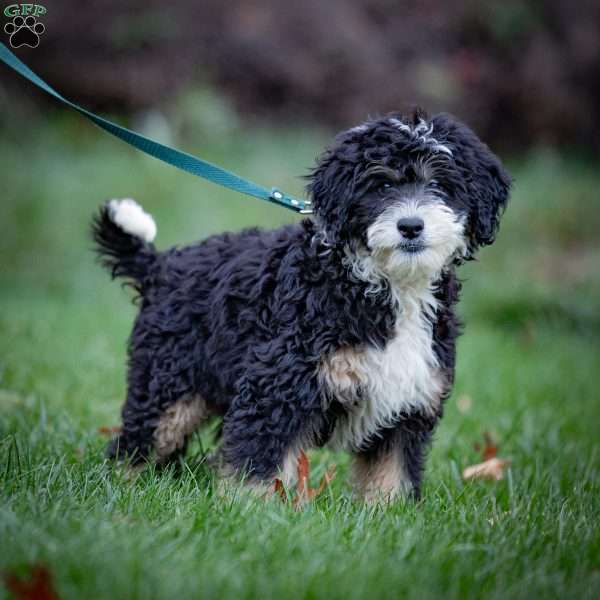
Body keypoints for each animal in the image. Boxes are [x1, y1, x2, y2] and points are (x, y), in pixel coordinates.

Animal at [92, 110, 510, 500]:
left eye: (439, 184)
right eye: (382, 185)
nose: (410, 226)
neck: (383, 285)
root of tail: (161, 266)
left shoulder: (407, 401)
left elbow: (392, 474)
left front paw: (388, 513)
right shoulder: (278, 383)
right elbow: (259, 461)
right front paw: (247, 509)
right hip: (168, 381)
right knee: (139, 441)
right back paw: (123, 488)